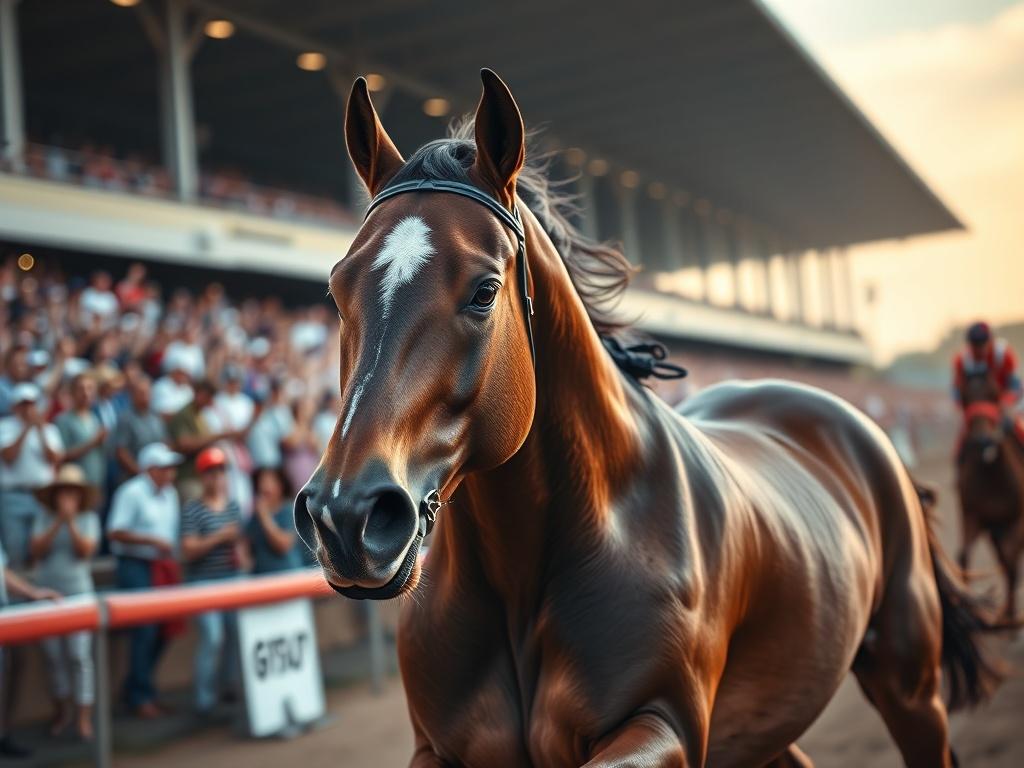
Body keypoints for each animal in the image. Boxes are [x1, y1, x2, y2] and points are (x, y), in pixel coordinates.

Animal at [295, 70, 1000, 767]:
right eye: (337, 287)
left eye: (484, 290)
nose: (347, 516)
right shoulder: (439, 749)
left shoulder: (664, 724)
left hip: (910, 686)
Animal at [957, 370, 1024, 621]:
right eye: (965, 396)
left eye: (994, 393)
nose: (983, 439)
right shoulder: (972, 515)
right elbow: (964, 555)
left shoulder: (1017, 520)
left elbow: (1011, 560)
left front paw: (1010, 614)